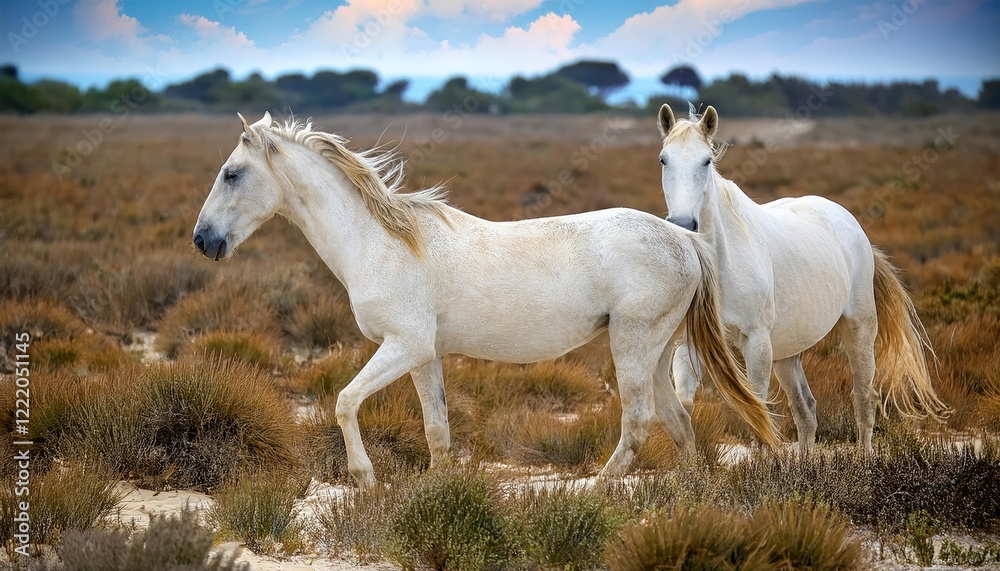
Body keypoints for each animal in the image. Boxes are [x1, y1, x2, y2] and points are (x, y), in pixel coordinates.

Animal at [192, 112, 780, 488]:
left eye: (232, 173)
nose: (203, 240)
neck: (381, 241)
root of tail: (684, 239)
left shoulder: (402, 346)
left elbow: (344, 401)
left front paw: (365, 480)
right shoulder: (423, 355)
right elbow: (437, 430)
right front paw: (436, 490)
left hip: (632, 345)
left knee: (638, 423)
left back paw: (594, 492)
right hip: (654, 352)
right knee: (678, 422)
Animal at [655, 103, 948, 450]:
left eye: (706, 161)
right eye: (663, 159)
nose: (683, 224)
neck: (724, 261)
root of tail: (851, 225)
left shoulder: (756, 342)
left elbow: (758, 410)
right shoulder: (693, 342)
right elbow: (685, 408)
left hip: (859, 329)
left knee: (864, 400)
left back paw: (864, 456)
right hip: (788, 353)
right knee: (806, 411)